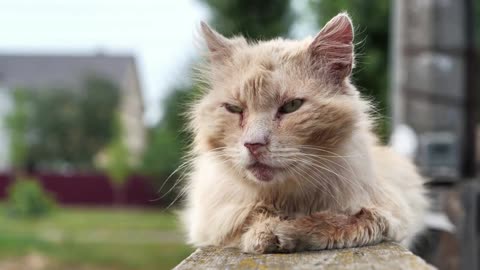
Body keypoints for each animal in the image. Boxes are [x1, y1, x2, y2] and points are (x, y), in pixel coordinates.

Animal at [180, 12, 428, 253]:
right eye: (234, 109)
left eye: (291, 106)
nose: (253, 144)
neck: (289, 201)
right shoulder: (213, 218)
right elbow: (251, 216)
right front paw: (266, 233)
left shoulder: (390, 213)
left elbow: (347, 220)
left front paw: (289, 231)